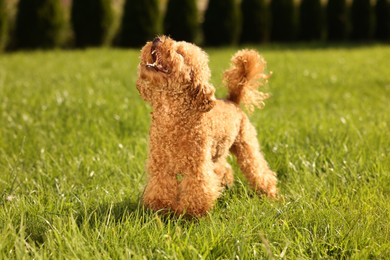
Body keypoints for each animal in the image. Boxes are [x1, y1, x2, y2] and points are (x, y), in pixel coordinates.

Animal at [137, 35, 278, 216]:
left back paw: (270, 193)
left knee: (259, 169)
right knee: (224, 168)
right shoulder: (160, 166)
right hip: (218, 151)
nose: (156, 39)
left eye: (180, 52)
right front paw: (162, 210)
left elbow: (198, 189)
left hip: (246, 144)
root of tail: (233, 100)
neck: (172, 117)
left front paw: (190, 214)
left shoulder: (197, 167)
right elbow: (161, 188)